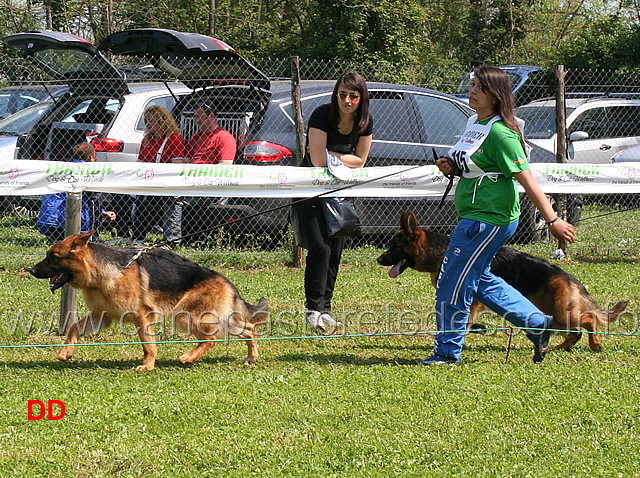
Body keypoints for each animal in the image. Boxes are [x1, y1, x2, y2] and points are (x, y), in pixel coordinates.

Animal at [30, 230, 268, 372]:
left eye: (52, 257)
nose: (31, 270)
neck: (100, 274)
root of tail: (226, 282)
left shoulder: (141, 317)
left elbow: (148, 345)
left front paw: (148, 365)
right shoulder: (101, 316)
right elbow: (73, 327)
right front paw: (66, 352)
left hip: (187, 317)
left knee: (212, 339)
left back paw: (188, 358)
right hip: (218, 319)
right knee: (249, 328)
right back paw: (251, 358)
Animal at [378, 213, 628, 352]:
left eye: (395, 246)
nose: (379, 259)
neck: (440, 251)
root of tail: (568, 277)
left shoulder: (469, 300)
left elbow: (463, 320)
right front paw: (475, 331)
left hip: (559, 314)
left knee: (588, 320)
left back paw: (592, 343)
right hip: (553, 313)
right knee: (577, 330)